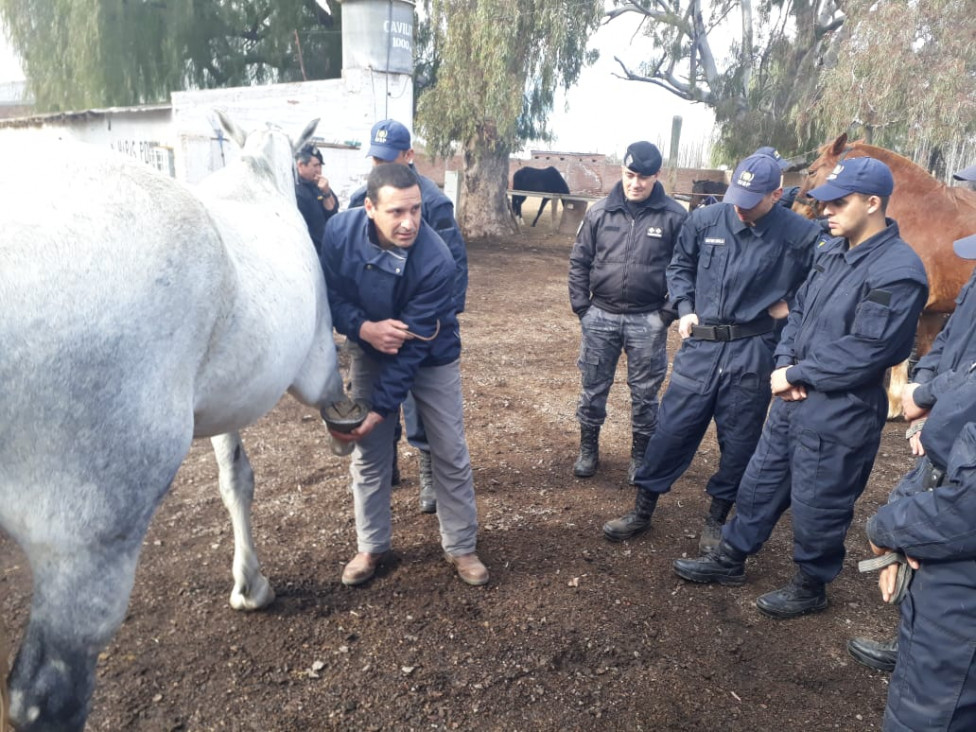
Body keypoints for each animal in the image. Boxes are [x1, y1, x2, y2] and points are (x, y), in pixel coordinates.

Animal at [0, 111, 346, 728]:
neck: (259, 182)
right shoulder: (317, 369)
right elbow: (338, 415)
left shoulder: (226, 401)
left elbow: (236, 480)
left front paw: (248, 584)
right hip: (87, 539)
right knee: (45, 693)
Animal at [792, 132, 976, 418]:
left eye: (812, 171)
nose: (795, 208)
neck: (919, 213)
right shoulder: (932, 314)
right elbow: (926, 354)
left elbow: (900, 359)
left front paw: (893, 404)